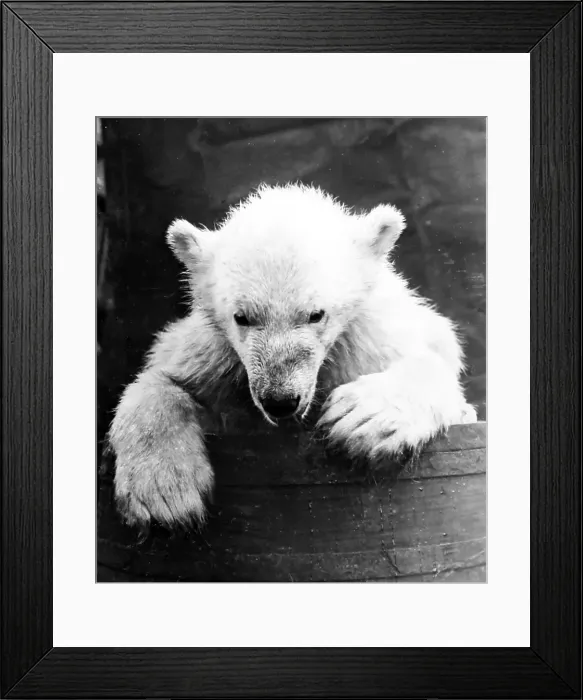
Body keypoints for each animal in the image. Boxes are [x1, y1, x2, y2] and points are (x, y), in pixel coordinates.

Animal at [109, 183, 477, 531]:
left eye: (316, 314)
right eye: (241, 317)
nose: (280, 400)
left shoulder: (371, 338)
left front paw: (363, 416)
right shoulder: (214, 355)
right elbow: (163, 378)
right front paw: (163, 492)